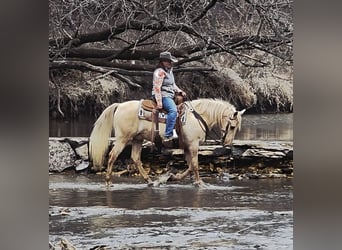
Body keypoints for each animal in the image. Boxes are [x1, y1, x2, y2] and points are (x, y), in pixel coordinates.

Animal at [88, 98, 246, 186]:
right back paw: (108, 181)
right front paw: (200, 182)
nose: (227, 144)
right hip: (123, 139)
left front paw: (173, 177)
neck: (197, 116)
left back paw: (150, 181)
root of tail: (119, 105)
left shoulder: (187, 146)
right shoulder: (193, 145)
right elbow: (195, 165)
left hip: (138, 139)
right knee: (112, 156)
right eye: (232, 126)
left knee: (136, 158)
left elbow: (190, 165)